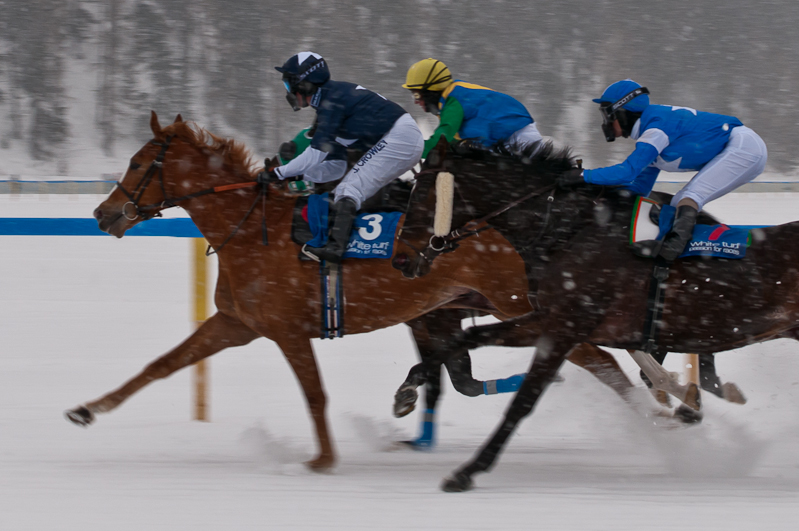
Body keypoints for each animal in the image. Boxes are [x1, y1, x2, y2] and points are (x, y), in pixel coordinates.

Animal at [65, 112, 644, 470]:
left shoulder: (288, 332)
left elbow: (315, 394)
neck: (252, 230)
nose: (102, 214)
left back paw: (651, 417)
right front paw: (87, 410)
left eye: (139, 164)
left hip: (524, 306)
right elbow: (161, 364)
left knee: (603, 363)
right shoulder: (236, 324)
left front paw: (323, 459)